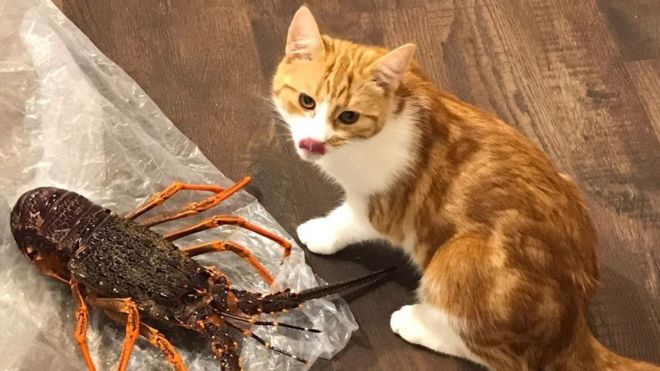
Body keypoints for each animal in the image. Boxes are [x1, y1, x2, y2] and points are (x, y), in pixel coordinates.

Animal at [270, 5, 656, 371]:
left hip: (460, 257)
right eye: (306, 101)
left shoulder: (383, 206)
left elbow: (348, 221)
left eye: (348, 117)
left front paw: (320, 232)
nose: (312, 143)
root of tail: (574, 325)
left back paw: (416, 323)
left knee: (502, 357)